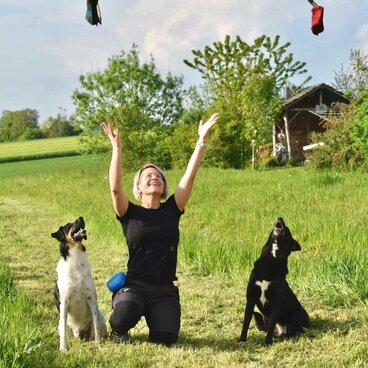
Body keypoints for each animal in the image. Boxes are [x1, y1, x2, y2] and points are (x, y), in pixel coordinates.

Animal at [51, 217, 107, 352]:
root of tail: (79, 334)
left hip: (102, 320)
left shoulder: (91, 299)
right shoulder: (64, 302)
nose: (81, 217)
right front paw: (63, 349)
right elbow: (63, 334)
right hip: (61, 325)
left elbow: (96, 326)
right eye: (67, 225)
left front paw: (98, 343)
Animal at [240, 216, 310, 344]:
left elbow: (272, 326)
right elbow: (246, 323)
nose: (280, 217)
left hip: (298, 314)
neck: (272, 256)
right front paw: (241, 340)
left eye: (287, 228)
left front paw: (267, 343)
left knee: (290, 332)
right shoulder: (250, 300)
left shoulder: (275, 304)